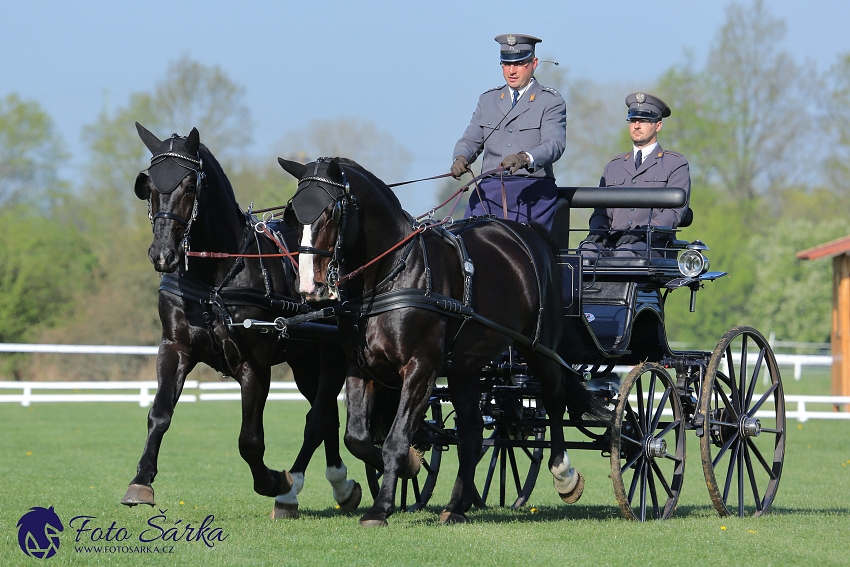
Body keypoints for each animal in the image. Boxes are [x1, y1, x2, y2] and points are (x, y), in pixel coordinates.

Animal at [119, 124, 358, 520]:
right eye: (148, 185)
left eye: (189, 185)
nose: (163, 254)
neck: (215, 278)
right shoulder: (175, 348)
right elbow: (160, 414)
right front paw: (141, 482)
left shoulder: (253, 364)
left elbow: (250, 440)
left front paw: (274, 481)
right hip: (304, 359)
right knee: (326, 416)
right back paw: (343, 485)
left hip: (333, 354)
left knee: (321, 415)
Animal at [278, 158, 596, 524]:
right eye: (292, 215)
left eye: (331, 211)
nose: (309, 287)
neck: (393, 275)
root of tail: (528, 234)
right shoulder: (360, 366)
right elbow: (357, 437)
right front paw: (408, 467)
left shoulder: (421, 367)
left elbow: (396, 438)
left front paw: (381, 507)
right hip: (465, 367)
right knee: (472, 430)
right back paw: (457, 506)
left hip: (540, 348)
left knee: (555, 399)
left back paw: (563, 473)